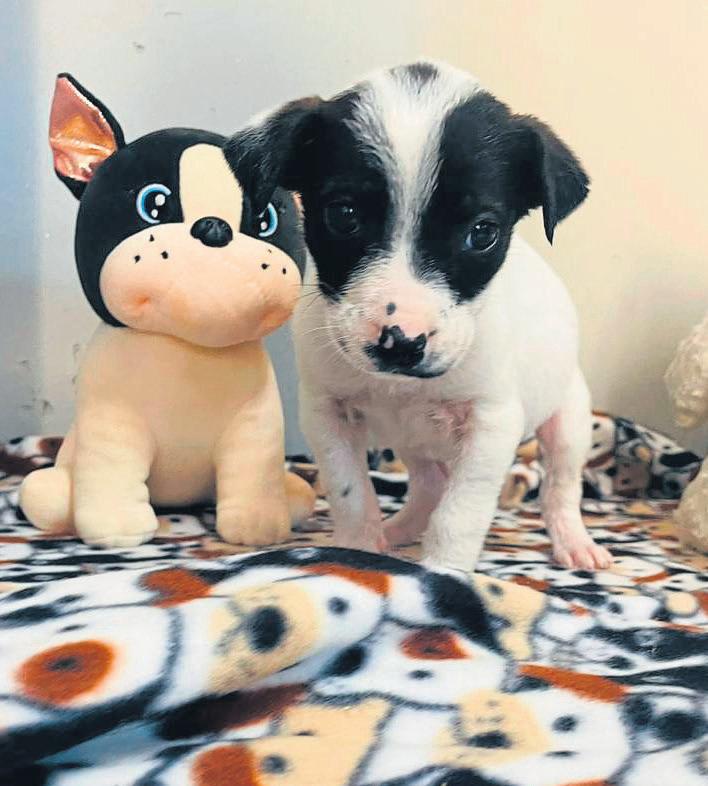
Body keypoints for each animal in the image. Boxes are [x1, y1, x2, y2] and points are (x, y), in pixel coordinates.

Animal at [226, 61, 613, 574]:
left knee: (560, 487)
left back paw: (573, 540)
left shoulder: (491, 424)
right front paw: (355, 552)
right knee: (429, 486)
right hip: (413, 442)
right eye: (343, 215)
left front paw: (445, 573)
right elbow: (351, 493)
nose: (402, 341)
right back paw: (400, 531)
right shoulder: (326, 413)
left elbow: (459, 514)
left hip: (569, 420)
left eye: (482, 232)